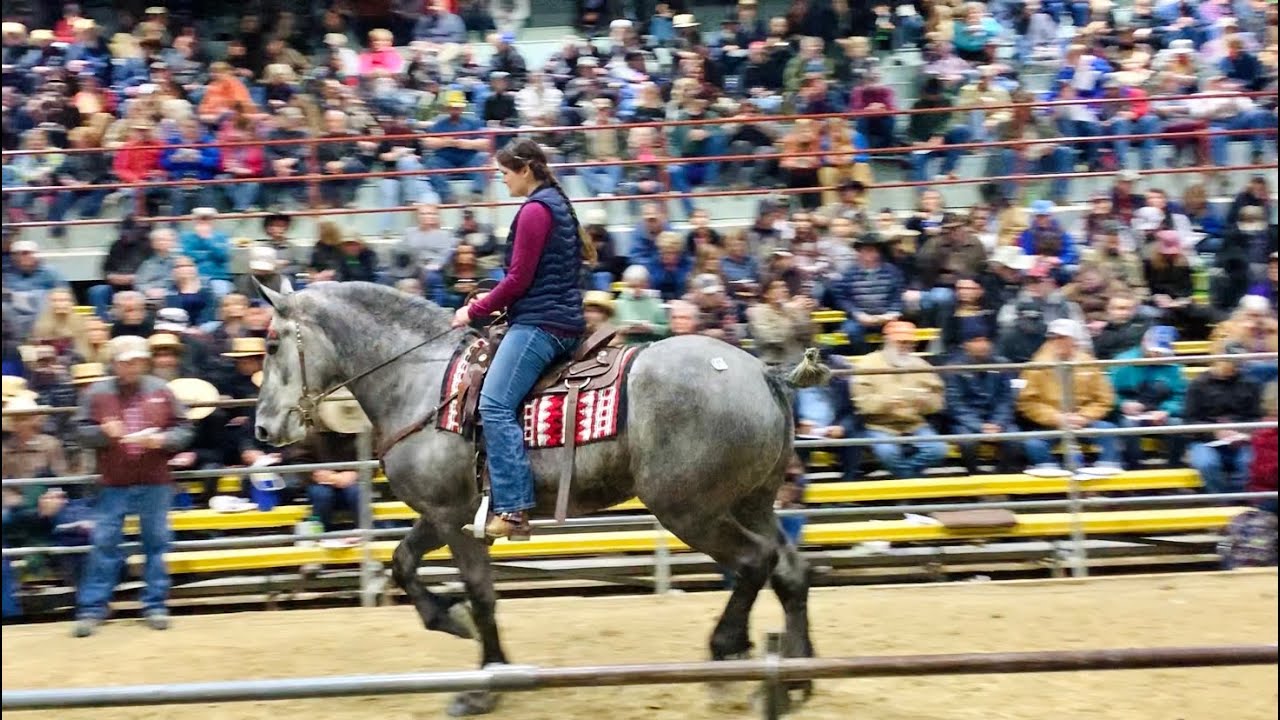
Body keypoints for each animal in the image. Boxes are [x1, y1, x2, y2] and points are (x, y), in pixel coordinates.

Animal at [252, 280, 826, 716]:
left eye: (273, 344)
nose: (262, 427)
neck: (422, 384)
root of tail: (763, 374)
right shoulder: (444, 514)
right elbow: (402, 563)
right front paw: (450, 621)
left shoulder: (453, 518)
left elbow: (481, 593)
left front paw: (484, 684)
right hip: (751, 501)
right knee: (789, 571)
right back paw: (797, 676)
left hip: (691, 510)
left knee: (754, 562)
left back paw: (727, 653)